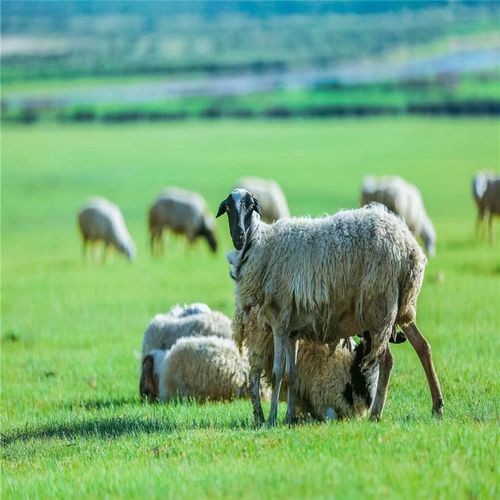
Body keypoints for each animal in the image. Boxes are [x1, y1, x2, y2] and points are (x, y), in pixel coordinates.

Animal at [217, 188, 444, 426]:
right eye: (228, 208)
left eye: (251, 206)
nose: (239, 236)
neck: (262, 245)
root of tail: (409, 247)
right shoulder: (290, 330)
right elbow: (292, 373)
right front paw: (288, 417)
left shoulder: (279, 321)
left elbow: (279, 372)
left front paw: (271, 419)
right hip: (400, 309)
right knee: (422, 347)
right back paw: (436, 406)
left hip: (379, 307)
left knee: (387, 359)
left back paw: (376, 413)